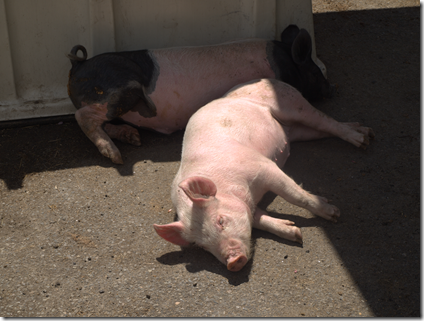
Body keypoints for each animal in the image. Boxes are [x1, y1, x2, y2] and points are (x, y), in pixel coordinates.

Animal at [67, 25, 334, 164]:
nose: (331, 90)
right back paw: (116, 157)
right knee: (82, 117)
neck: (286, 61)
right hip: (122, 92)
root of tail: (77, 64)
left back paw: (133, 138)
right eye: (316, 72)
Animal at [153, 79, 374, 272]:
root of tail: (265, 79)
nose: (233, 262)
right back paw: (365, 131)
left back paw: (362, 140)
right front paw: (296, 234)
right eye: (201, 245)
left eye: (220, 221)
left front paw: (333, 213)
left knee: (325, 121)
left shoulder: (264, 167)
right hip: (297, 131)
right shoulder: (246, 204)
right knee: (323, 129)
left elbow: (295, 195)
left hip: (293, 104)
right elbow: (258, 219)